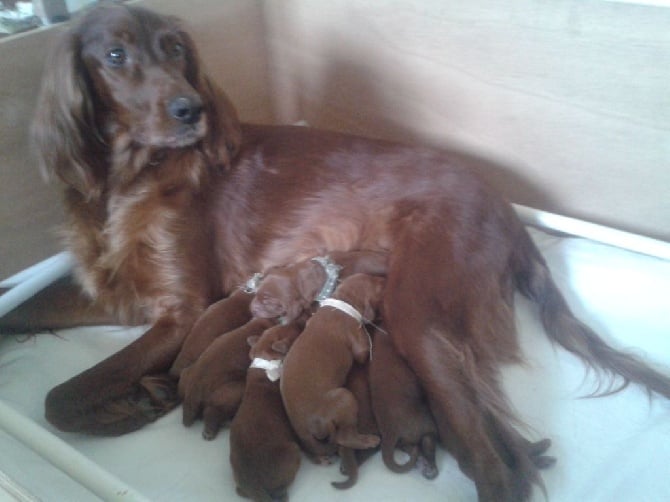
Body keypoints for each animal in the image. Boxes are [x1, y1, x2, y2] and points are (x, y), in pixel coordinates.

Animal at [232, 324, 304, 500]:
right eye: (295, 333)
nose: (300, 323)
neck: (267, 363)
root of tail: (255, 487)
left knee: (240, 492)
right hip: (293, 451)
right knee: (282, 488)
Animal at [278, 274, 384, 462]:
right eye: (379, 284)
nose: (385, 278)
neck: (343, 303)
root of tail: (305, 430)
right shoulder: (359, 344)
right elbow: (362, 351)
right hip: (344, 397)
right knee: (345, 437)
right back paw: (369, 440)